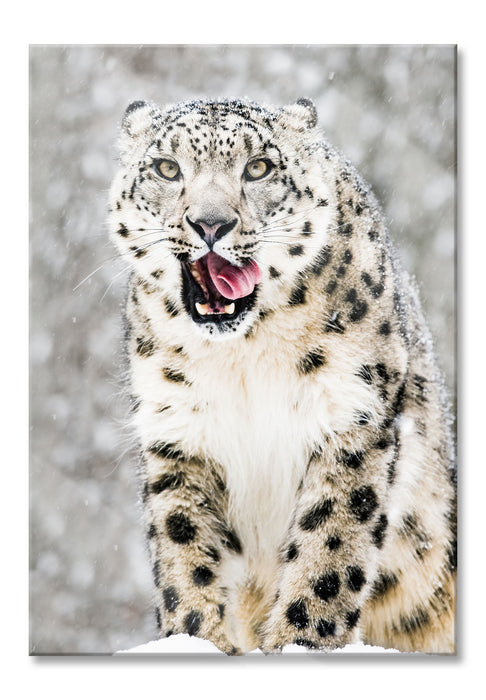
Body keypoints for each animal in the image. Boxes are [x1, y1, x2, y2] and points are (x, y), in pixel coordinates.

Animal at [108, 97, 456, 655]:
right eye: (166, 167)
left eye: (258, 168)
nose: (210, 224)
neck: (243, 358)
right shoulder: (179, 434)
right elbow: (185, 553)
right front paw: (199, 638)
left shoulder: (351, 417)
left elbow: (328, 550)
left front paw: (301, 642)